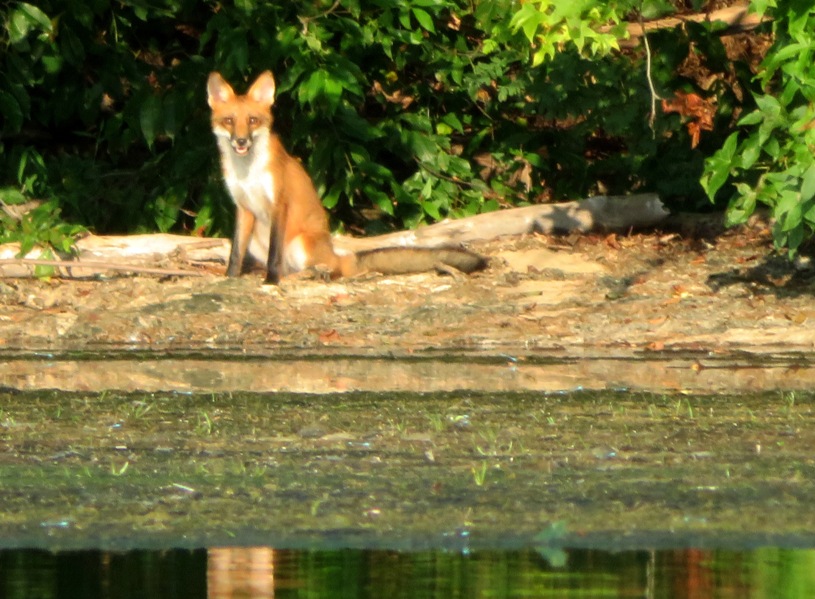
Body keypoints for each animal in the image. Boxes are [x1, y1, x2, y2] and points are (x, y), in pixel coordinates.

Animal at [207, 69, 488, 284]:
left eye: (253, 120)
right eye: (229, 121)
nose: (241, 141)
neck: (247, 173)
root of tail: (336, 254)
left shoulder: (279, 204)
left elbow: (273, 256)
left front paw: (271, 281)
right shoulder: (243, 207)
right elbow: (235, 252)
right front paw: (230, 277)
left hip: (300, 244)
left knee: (329, 270)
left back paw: (305, 275)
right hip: (257, 240)